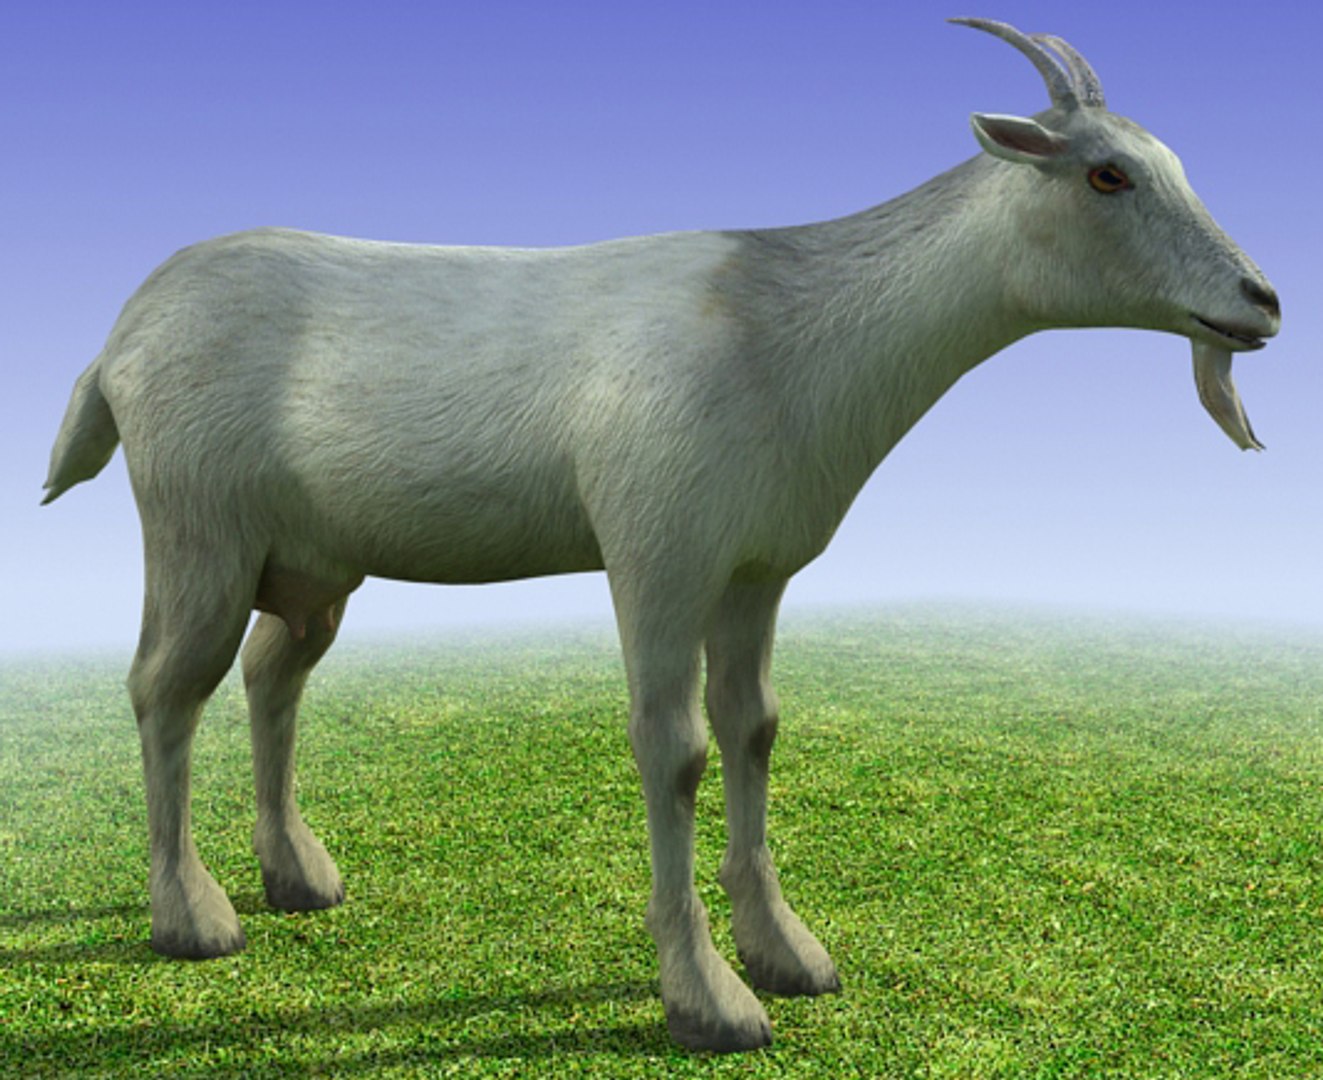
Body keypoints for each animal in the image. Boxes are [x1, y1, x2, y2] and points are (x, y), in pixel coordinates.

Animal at [43, 18, 1279, 1052]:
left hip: (310, 559)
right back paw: (192, 916)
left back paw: (298, 876)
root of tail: (120, 336)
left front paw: (789, 954)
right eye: (1107, 173)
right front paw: (708, 1000)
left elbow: (755, 731)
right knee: (166, 687)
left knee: (271, 673)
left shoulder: (752, 570)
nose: (1261, 302)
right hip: (197, 525)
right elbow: (672, 749)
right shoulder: (658, 551)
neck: (790, 328)